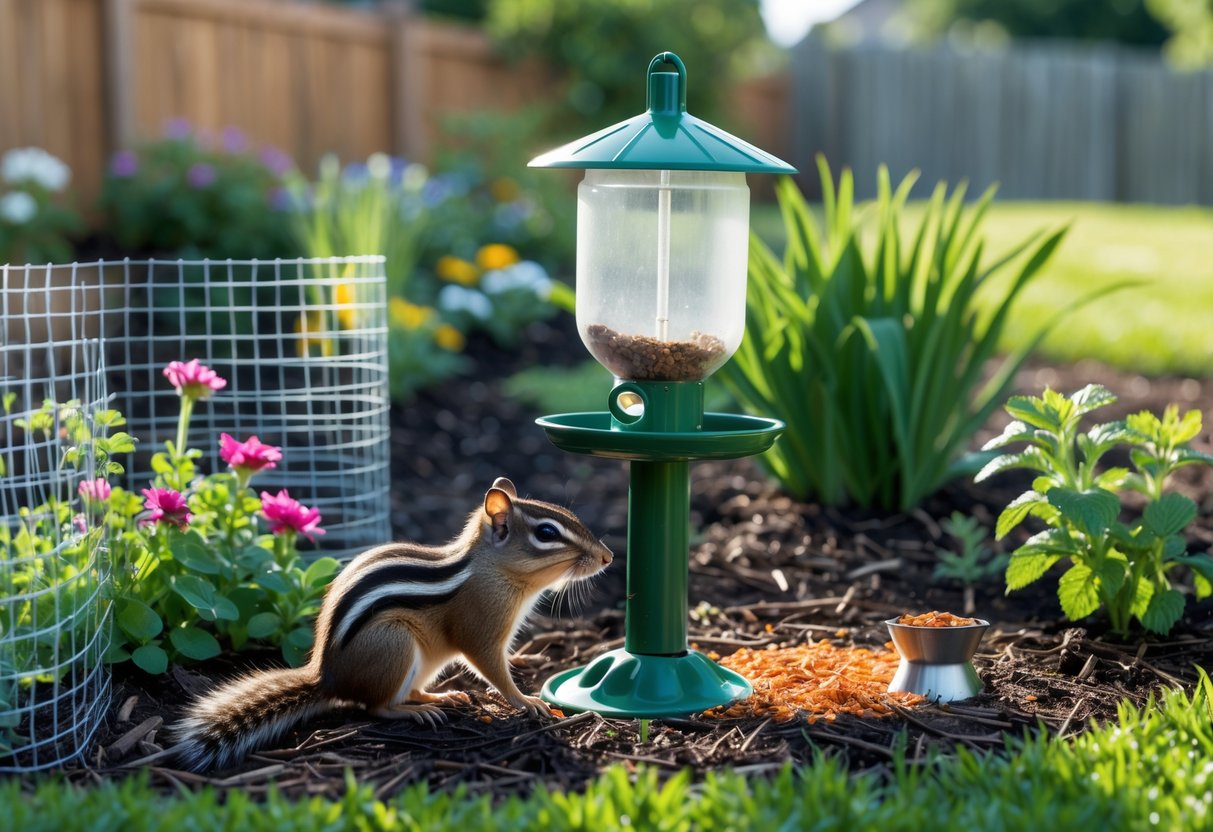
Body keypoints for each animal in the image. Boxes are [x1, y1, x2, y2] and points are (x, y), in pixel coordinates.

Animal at [171, 477, 612, 771]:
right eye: (546, 533)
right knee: (377, 707)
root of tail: (327, 677)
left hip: (427, 660)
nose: (607, 557)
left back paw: (441, 697)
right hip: (395, 644)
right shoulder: (481, 628)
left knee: (410, 690)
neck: (492, 570)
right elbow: (491, 667)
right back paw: (415, 713)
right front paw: (527, 701)